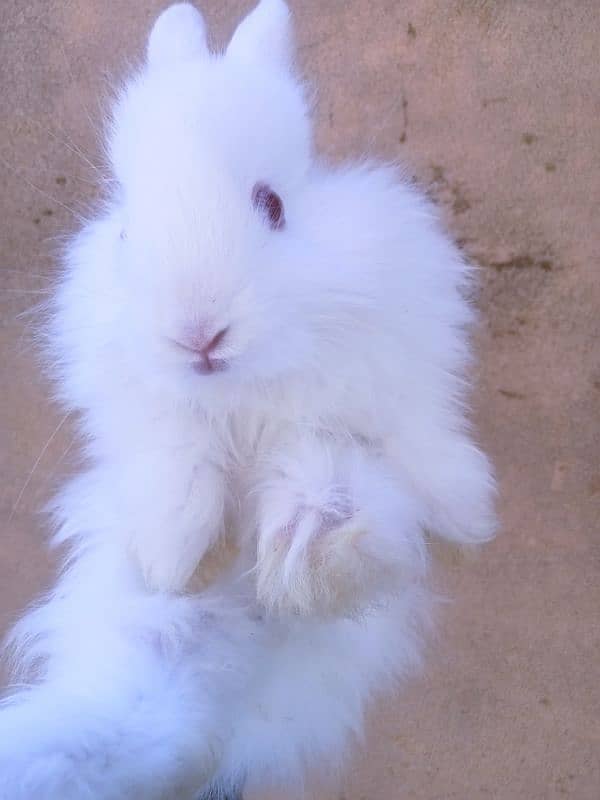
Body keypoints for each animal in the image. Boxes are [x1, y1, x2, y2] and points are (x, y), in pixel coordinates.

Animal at [0, 3, 496, 796]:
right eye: (127, 229)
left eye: (273, 205)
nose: (196, 333)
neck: (247, 386)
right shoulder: (149, 416)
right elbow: (178, 463)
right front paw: (172, 556)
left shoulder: (391, 386)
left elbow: (360, 461)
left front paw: (318, 542)